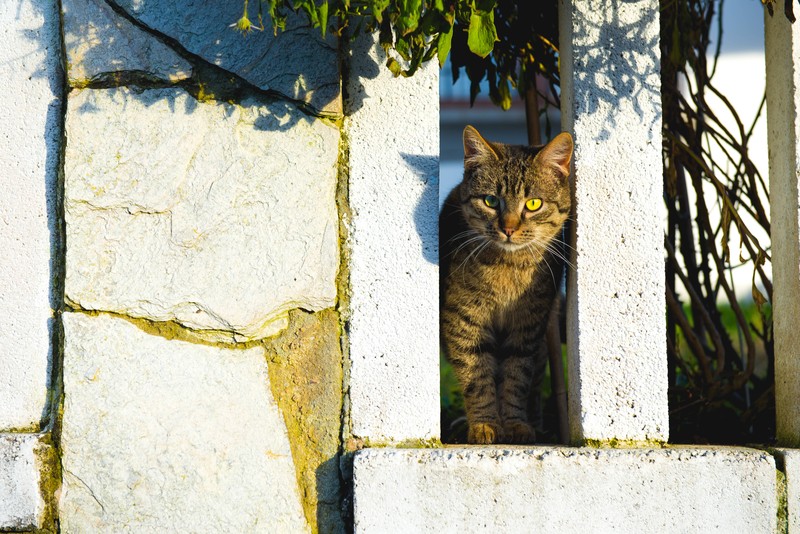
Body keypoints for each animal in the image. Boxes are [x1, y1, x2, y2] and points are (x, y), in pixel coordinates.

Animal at [438, 126, 576, 448]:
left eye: (534, 203)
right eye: (490, 201)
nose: (509, 228)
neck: (507, 269)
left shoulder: (528, 327)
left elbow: (517, 378)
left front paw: (515, 424)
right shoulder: (462, 319)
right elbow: (476, 375)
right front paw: (485, 425)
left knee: (535, 383)